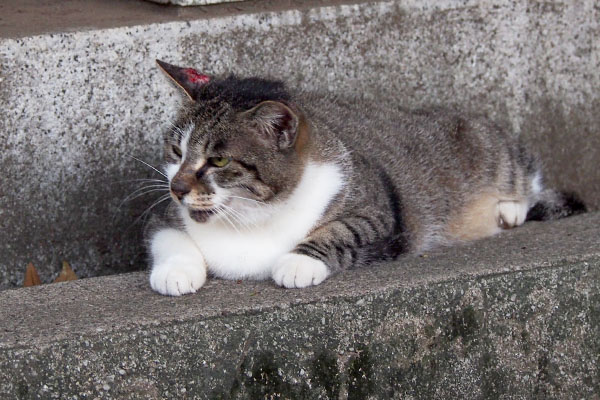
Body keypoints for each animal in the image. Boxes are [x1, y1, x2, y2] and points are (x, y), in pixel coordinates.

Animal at [146, 60, 584, 296]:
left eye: (218, 160)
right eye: (176, 151)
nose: (176, 187)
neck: (251, 220)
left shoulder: (382, 213)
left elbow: (340, 233)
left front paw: (298, 263)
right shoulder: (162, 217)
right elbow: (168, 238)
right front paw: (175, 273)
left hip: (493, 150)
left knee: (529, 177)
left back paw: (511, 209)